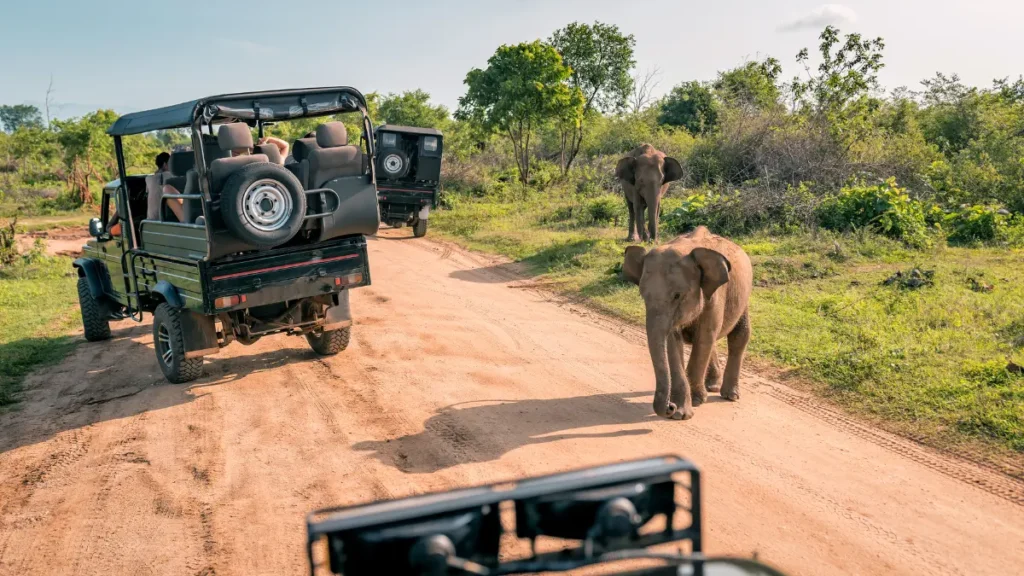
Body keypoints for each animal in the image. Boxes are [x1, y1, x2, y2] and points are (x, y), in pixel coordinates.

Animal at [618, 226, 757, 420]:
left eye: (677, 295)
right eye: (643, 296)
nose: (669, 407)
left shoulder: (715, 296)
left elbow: (704, 337)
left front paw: (696, 401)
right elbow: (673, 343)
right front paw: (681, 412)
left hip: (743, 298)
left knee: (739, 335)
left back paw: (729, 395)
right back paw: (712, 386)